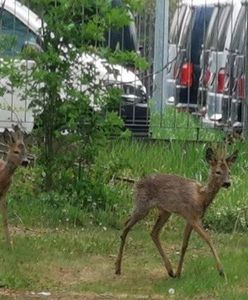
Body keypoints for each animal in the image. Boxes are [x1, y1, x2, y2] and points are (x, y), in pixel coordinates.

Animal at [116, 146, 238, 278]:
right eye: (218, 172)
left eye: (229, 172)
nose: (227, 183)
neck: (201, 197)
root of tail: (137, 182)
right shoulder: (192, 216)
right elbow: (208, 238)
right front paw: (221, 271)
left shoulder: (191, 219)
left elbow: (184, 245)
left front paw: (179, 273)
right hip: (142, 205)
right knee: (126, 226)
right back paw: (118, 268)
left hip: (165, 211)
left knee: (153, 232)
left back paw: (170, 270)